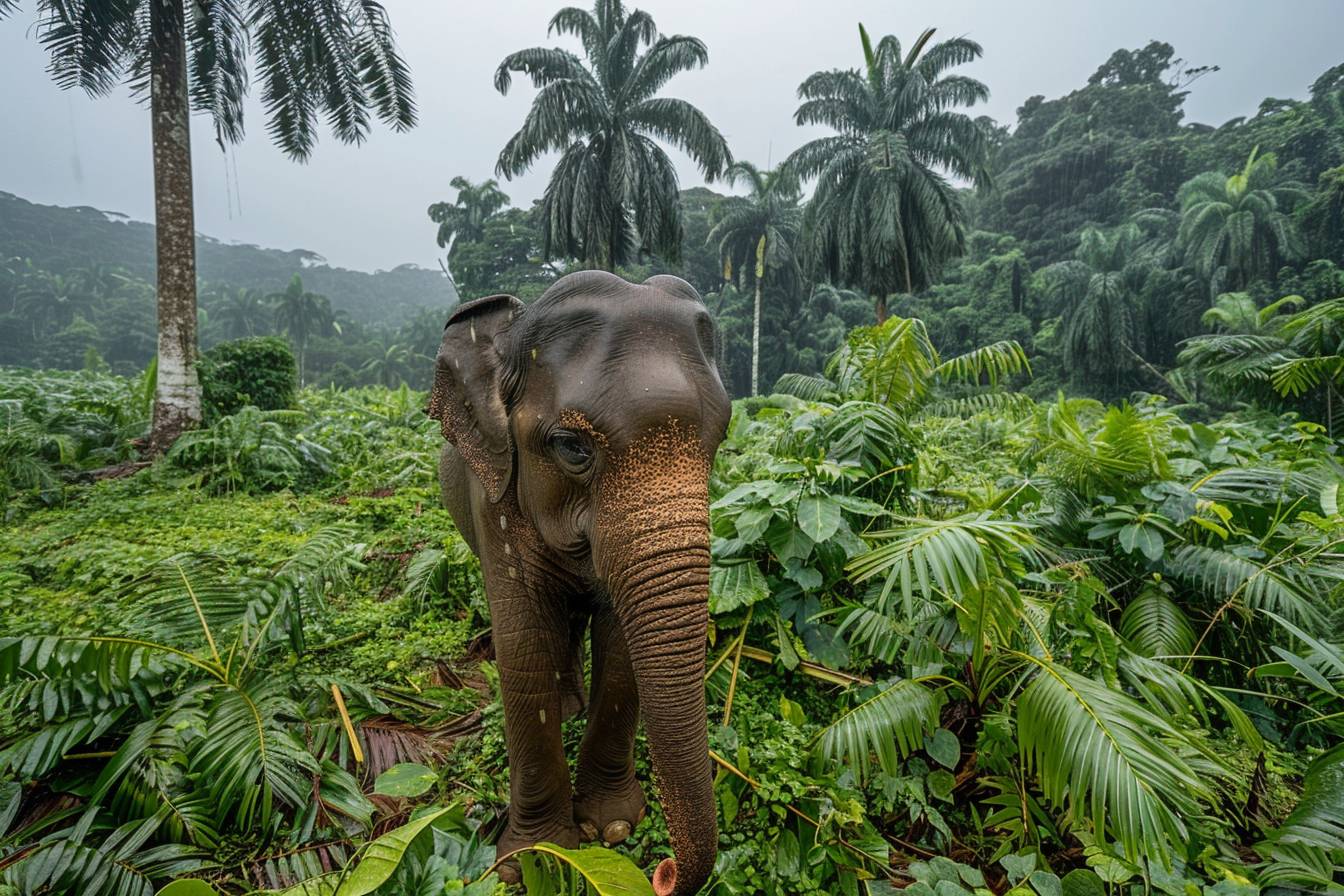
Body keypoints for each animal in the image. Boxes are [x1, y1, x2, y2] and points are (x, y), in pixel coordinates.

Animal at [428, 270, 731, 896]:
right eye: (572, 446)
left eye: (720, 439)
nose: (662, 871)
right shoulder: (494, 499)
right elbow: (522, 649)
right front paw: (535, 857)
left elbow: (620, 649)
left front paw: (611, 828)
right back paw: (566, 707)